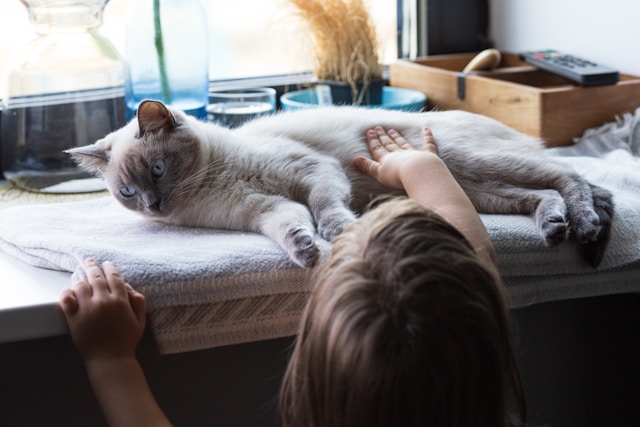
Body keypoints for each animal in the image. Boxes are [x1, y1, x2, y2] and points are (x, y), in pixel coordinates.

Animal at [67, 99, 612, 268]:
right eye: (127, 193)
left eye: (158, 171)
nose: (154, 207)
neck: (210, 186)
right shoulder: (265, 211)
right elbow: (291, 227)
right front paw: (306, 252)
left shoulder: (312, 173)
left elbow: (326, 208)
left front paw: (335, 233)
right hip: (480, 190)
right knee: (543, 194)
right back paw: (555, 227)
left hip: (470, 162)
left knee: (568, 175)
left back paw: (582, 223)